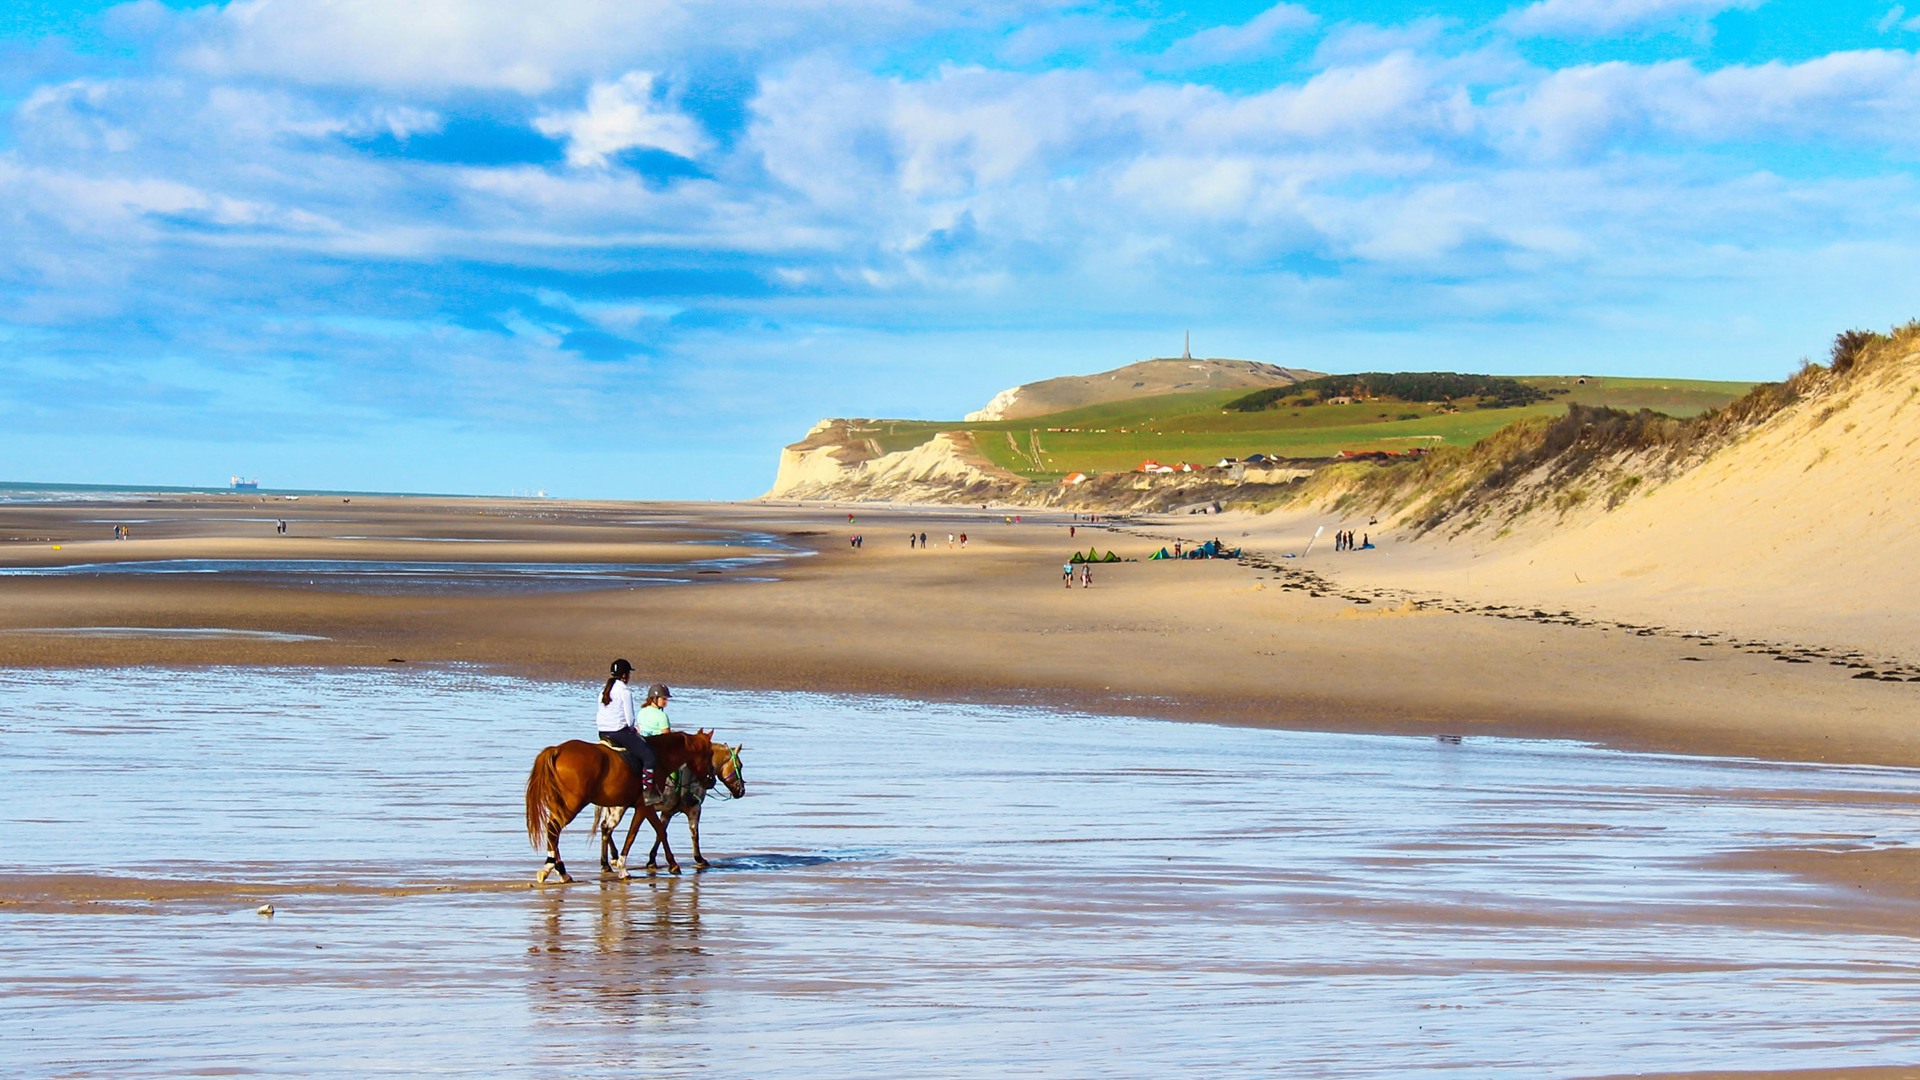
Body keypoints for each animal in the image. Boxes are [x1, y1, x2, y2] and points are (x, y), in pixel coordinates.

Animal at [522, 722, 718, 883]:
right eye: (710, 753)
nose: (711, 781)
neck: (661, 755)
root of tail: (557, 750)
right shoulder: (645, 805)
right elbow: (637, 833)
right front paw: (624, 867)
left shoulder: (643, 807)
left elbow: (658, 831)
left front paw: (670, 863)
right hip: (572, 805)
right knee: (554, 829)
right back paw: (557, 869)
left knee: (555, 831)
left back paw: (558, 870)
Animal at [595, 737, 744, 876]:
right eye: (740, 765)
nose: (742, 790)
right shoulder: (694, 808)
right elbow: (694, 834)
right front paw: (699, 859)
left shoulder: (668, 811)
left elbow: (660, 832)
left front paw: (652, 860)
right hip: (618, 807)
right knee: (606, 828)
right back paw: (608, 862)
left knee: (605, 828)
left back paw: (610, 860)